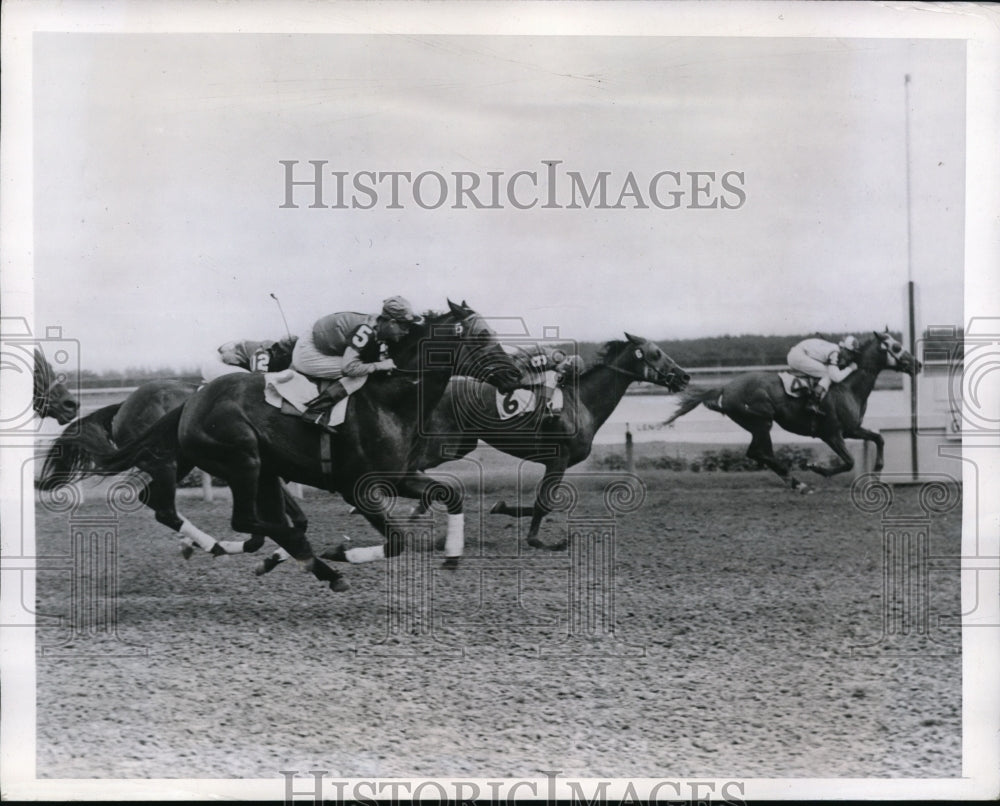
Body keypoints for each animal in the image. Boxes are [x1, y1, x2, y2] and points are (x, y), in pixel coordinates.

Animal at [88, 304, 524, 592]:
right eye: (482, 336)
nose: (515, 375)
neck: (388, 399)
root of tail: (191, 401)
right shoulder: (357, 487)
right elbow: (397, 541)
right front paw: (336, 553)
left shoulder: (400, 476)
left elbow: (452, 493)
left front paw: (452, 555)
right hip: (239, 459)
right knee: (242, 520)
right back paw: (303, 558)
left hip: (249, 467)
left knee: (198, 512)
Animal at [410, 332, 692, 548]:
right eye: (656, 353)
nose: (684, 376)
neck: (582, 403)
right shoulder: (559, 459)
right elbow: (543, 503)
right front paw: (538, 540)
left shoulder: (556, 462)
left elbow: (539, 503)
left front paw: (501, 506)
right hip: (443, 442)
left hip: (460, 444)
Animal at [664, 330, 920, 492]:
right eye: (896, 347)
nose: (917, 364)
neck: (848, 386)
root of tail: (725, 387)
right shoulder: (832, 433)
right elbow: (848, 462)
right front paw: (816, 468)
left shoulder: (852, 429)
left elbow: (879, 438)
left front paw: (876, 472)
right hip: (762, 422)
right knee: (760, 452)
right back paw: (799, 484)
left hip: (758, 425)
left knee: (757, 453)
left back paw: (794, 482)